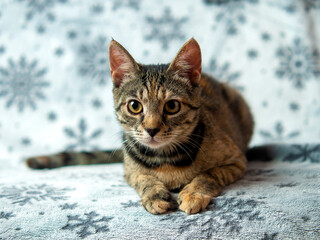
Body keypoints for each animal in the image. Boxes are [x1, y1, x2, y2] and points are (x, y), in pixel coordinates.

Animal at [26, 38, 252, 215]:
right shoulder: (129, 171)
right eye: (135, 106)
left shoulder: (237, 161)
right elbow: (143, 178)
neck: (165, 158)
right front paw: (154, 194)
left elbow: (209, 174)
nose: (151, 129)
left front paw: (194, 193)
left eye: (172, 106)